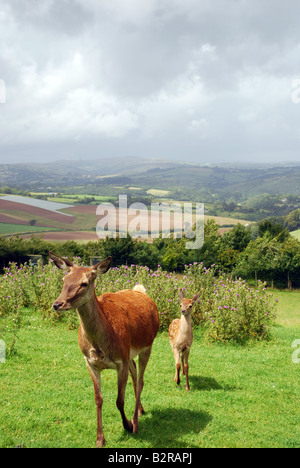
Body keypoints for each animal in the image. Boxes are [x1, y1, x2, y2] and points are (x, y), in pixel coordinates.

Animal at [50, 252, 159, 446]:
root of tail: (140, 291)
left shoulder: (121, 361)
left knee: (140, 380)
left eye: (84, 283)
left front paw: (128, 425)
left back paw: (136, 420)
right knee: (135, 374)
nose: (57, 304)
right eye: (64, 279)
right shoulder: (90, 362)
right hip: (131, 353)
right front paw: (100, 439)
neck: (100, 346)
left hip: (148, 344)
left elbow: (119, 400)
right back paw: (140, 410)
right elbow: (98, 399)